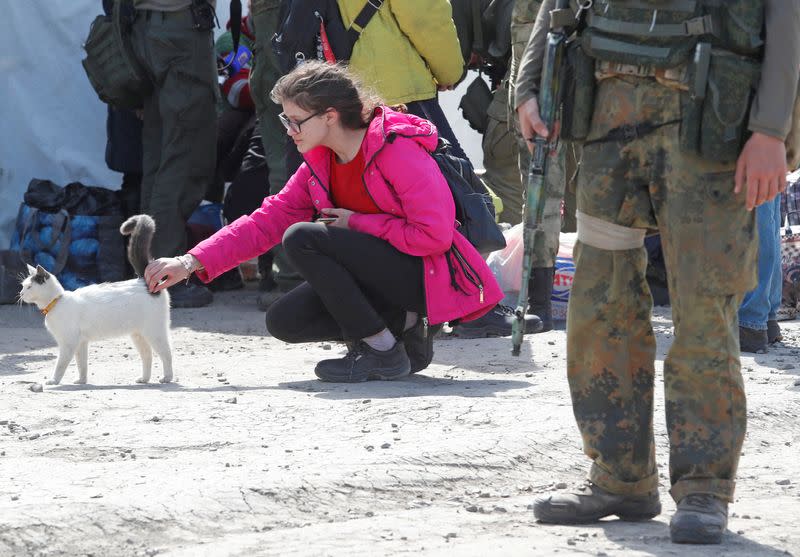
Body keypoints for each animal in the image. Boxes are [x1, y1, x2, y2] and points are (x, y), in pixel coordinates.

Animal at [18, 215, 173, 384]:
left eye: (29, 287)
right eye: (23, 286)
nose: (21, 293)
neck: (56, 302)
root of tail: (144, 281)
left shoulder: (68, 343)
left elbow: (60, 365)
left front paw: (54, 380)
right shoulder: (81, 343)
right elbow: (82, 364)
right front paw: (81, 381)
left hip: (154, 332)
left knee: (166, 354)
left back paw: (167, 377)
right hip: (138, 335)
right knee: (147, 355)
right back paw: (144, 379)